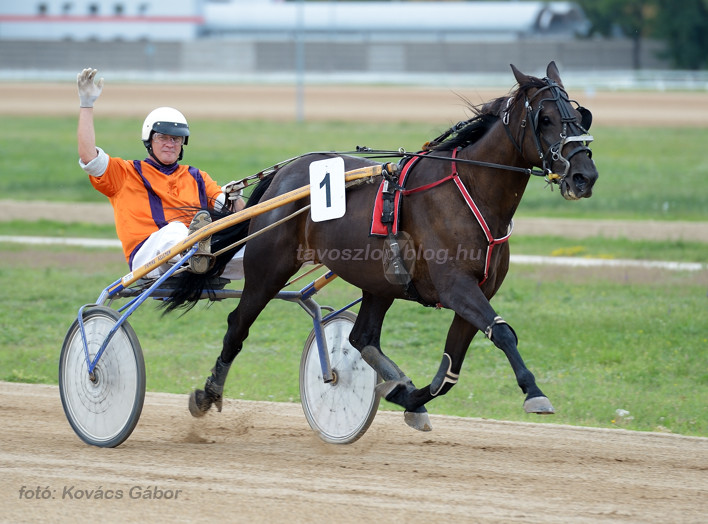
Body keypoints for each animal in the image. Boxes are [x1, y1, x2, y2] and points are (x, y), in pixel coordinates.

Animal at [174, 60, 596, 430]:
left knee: (362, 338)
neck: (471, 190)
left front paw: (407, 395)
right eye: (545, 119)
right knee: (238, 325)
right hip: (269, 269)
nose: (584, 175)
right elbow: (504, 333)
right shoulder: (456, 287)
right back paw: (207, 394)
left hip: (379, 281)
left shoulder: (476, 291)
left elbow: (450, 370)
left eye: (580, 116)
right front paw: (534, 392)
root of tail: (283, 173)